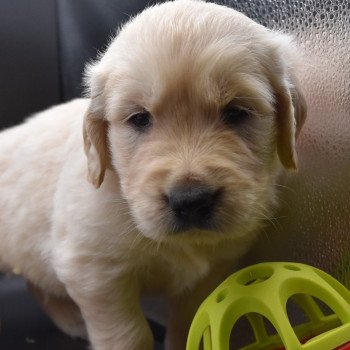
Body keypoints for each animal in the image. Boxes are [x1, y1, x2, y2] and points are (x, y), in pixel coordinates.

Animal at [0, 0, 306, 350]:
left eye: (236, 112)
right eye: (139, 119)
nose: (191, 201)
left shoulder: (212, 271)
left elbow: (190, 321)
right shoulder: (93, 270)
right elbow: (128, 334)